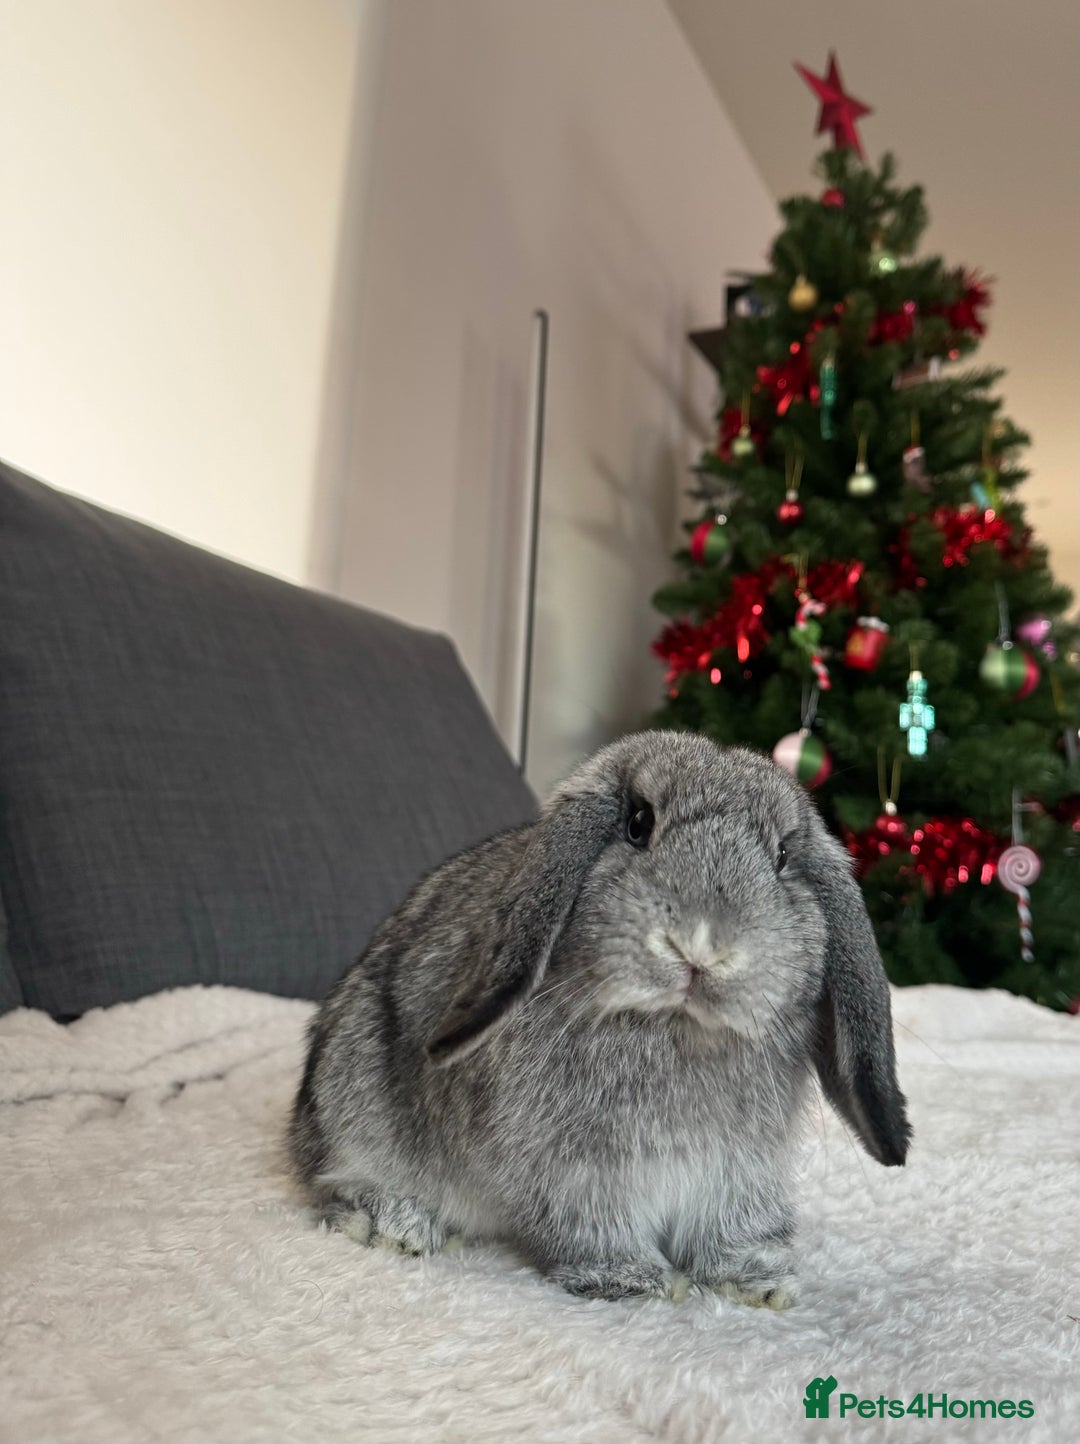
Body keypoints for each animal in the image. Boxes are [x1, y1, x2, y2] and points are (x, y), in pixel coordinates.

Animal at [290, 730, 910, 1308]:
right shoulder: (575, 1173)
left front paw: (756, 1286)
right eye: (638, 824)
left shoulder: (739, 1174)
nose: (701, 945)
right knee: (339, 1185)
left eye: (782, 857)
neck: (675, 1028)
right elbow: (596, 1230)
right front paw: (636, 1283)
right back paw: (398, 1227)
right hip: (355, 1100)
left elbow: (734, 1231)